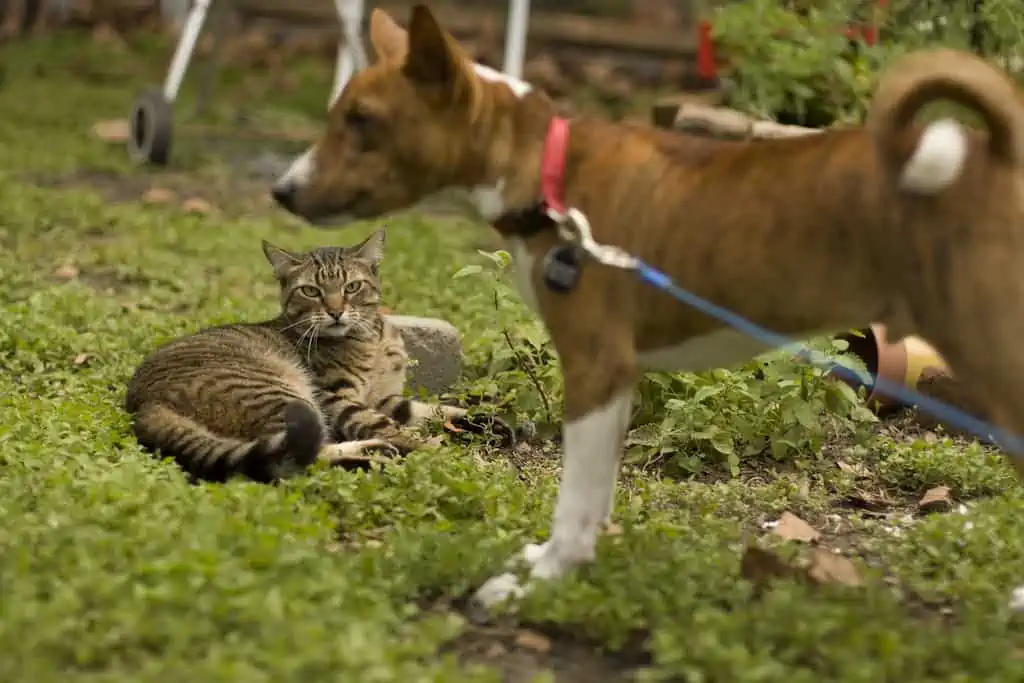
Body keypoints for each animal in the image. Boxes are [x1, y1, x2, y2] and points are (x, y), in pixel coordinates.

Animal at [123, 227, 491, 483]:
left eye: (352, 287)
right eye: (311, 291)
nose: (335, 312)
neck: (371, 338)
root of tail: (144, 404)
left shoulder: (385, 397)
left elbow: (433, 410)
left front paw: (485, 421)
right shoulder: (338, 398)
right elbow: (386, 424)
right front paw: (435, 449)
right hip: (287, 396)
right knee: (304, 457)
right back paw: (372, 455)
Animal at [270, 5, 1024, 610]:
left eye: (363, 122)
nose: (282, 190)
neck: (548, 175)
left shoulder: (594, 365)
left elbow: (573, 503)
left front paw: (541, 580)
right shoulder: (618, 378)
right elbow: (597, 494)